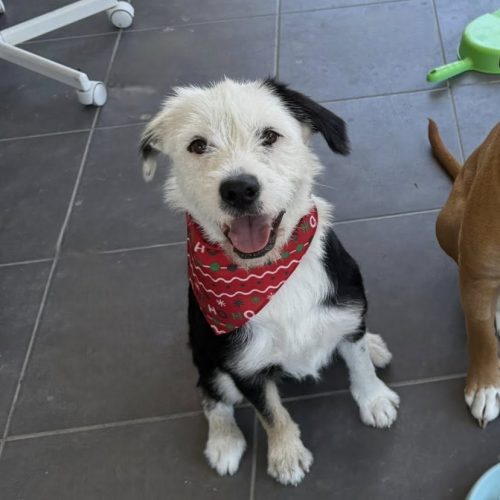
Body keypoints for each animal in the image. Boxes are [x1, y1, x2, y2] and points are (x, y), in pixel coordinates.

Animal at [141, 78, 400, 485]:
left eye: (270, 135)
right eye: (197, 145)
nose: (239, 189)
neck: (270, 276)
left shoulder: (347, 306)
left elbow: (357, 361)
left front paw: (373, 398)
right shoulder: (244, 366)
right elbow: (271, 413)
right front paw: (286, 455)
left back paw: (372, 344)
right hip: (207, 358)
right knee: (211, 395)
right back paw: (224, 441)